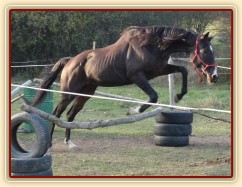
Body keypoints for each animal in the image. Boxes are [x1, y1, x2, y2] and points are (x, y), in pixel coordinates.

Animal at [27, 25, 218, 148]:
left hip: (86, 93)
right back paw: (50, 143)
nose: (213, 76)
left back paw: (69, 142)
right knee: (56, 114)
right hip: (69, 92)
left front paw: (178, 96)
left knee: (69, 115)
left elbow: (183, 70)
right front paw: (133, 111)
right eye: (204, 51)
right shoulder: (137, 76)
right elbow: (153, 96)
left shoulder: (159, 70)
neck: (152, 45)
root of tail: (70, 61)